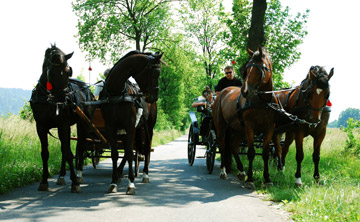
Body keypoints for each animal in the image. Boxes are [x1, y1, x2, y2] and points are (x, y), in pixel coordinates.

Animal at [30, 43, 93, 193]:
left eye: (68, 71)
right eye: (52, 72)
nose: (65, 100)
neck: (49, 98)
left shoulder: (63, 124)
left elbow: (69, 152)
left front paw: (74, 182)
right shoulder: (41, 126)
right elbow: (45, 153)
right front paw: (44, 181)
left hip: (82, 123)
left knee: (80, 146)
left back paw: (79, 175)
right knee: (65, 149)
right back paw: (62, 176)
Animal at [98, 50, 163, 194]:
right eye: (155, 73)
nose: (154, 97)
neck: (116, 92)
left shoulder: (129, 126)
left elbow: (128, 153)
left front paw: (131, 184)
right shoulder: (111, 127)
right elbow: (116, 154)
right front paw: (113, 182)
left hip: (147, 127)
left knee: (145, 148)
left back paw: (145, 174)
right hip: (132, 129)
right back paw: (118, 174)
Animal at [212, 46, 278, 188]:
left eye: (260, 70)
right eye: (247, 70)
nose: (245, 91)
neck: (262, 101)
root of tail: (222, 92)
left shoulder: (269, 128)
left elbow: (265, 153)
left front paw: (267, 179)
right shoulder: (250, 127)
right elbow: (251, 152)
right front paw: (250, 179)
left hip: (239, 130)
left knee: (233, 146)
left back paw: (241, 171)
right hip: (222, 127)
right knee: (223, 145)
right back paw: (223, 171)